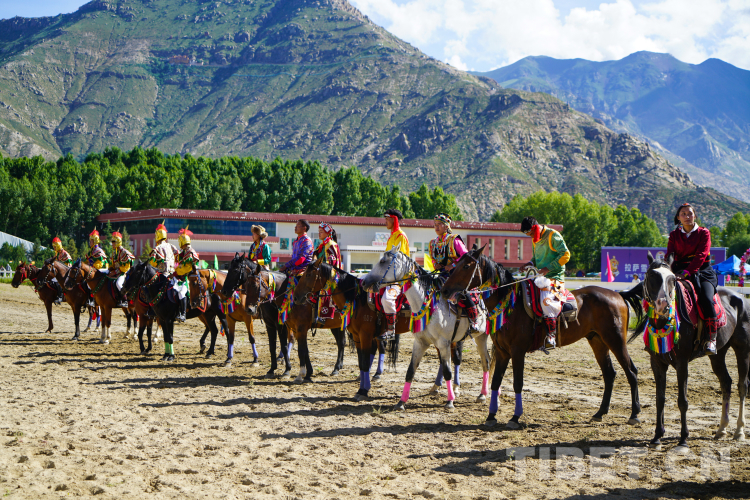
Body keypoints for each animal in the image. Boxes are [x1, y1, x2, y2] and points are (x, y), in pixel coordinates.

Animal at [294, 258, 465, 401]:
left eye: (308, 275)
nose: (296, 297)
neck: (358, 299)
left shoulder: (365, 336)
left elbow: (364, 362)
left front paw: (363, 391)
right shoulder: (357, 337)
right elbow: (361, 363)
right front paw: (362, 388)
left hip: (446, 337)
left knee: (454, 358)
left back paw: (454, 389)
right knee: (443, 360)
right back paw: (436, 387)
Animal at [361, 249, 491, 410]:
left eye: (382, 262)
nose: (364, 282)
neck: (429, 304)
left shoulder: (443, 343)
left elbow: (447, 371)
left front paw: (450, 401)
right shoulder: (420, 342)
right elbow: (411, 370)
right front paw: (401, 402)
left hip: (481, 337)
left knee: (486, 362)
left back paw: (482, 394)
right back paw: (442, 388)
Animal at [441, 245, 641, 428]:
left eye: (466, 266)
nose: (444, 290)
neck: (510, 304)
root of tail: (618, 295)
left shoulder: (518, 351)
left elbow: (517, 383)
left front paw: (515, 417)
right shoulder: (503, 351)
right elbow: (496, 382)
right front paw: (491, 416)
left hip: (616, 340)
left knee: (631, 371)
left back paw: (635, 414)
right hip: (598, 341)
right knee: (609, 374)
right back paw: (600, 413)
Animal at [620, 253, 749, 452]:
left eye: (673, 280)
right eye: (651, 276)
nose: (663, 305)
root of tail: (741, 298)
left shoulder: (682, 364)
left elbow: (683, 401)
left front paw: (683, 440)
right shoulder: (657, 363)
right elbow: (660, 399)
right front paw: (657, 437)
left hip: (742, 349)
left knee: (742, 385)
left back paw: (739, 431)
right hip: (718, 354)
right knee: (726, 383)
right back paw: (721, 429)